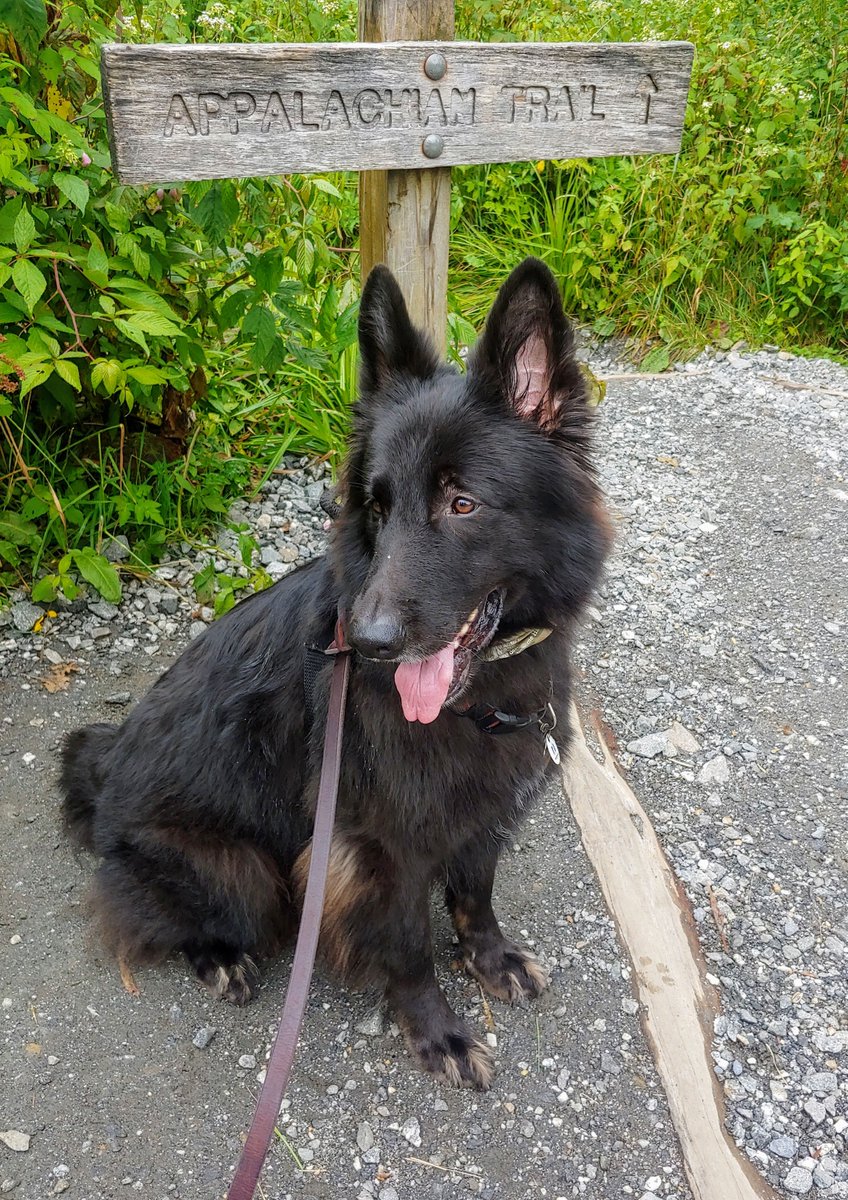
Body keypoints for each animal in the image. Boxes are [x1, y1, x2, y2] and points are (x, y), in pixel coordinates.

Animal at [61, 260, 609, 1089]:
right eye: (376, 508)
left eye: (462, 503)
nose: (372, 644)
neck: (479, 698)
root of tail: (105, 776)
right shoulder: (380, 850)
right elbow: (411, 948)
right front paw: (437, 1032)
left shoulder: (480, 817)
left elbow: (475, 895)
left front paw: (489, 960)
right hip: (244, 873)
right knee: (155, 914)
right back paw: (219, 958)